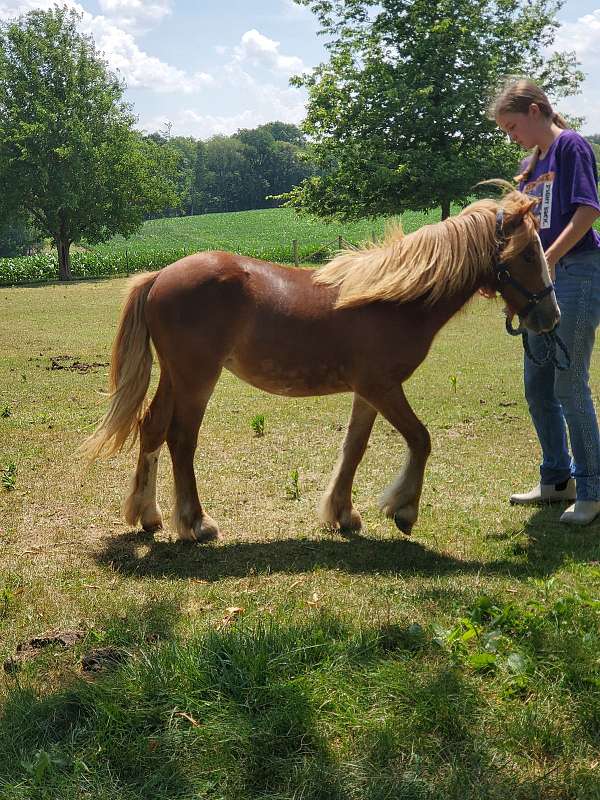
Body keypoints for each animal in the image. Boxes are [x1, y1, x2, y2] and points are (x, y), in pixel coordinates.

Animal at [83, 191, 556, 540]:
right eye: (528, 254)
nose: (550, 317)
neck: (392, 299)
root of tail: (160, 275)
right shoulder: (384, 387)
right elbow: (421, 439)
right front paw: (403, 509)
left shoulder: (368, 392)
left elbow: (355, 447)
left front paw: (343, 513)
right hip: (197, 378)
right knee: (181, 439)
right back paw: (196, 523)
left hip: (176, 375)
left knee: (152, 428)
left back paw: (149, 516)